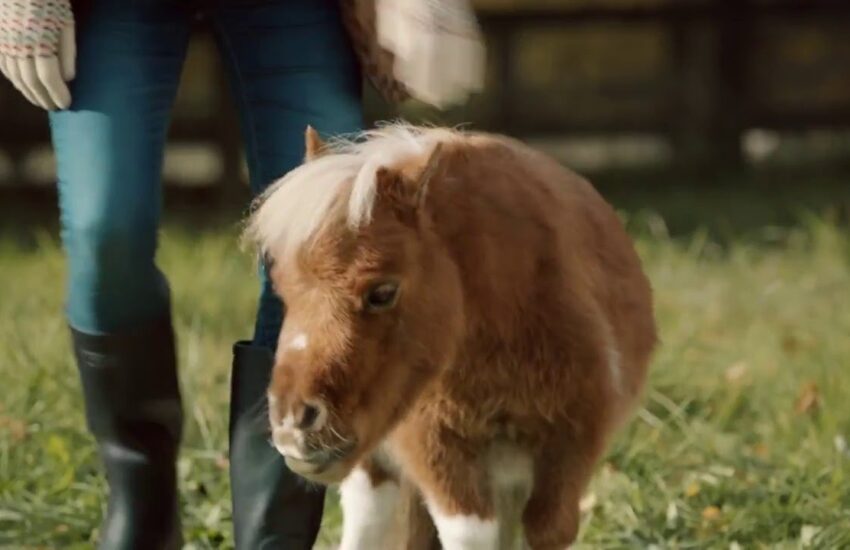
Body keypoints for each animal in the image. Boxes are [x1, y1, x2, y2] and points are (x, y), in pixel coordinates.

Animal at [244, 124, 657, 549]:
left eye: (382, 292)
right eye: (281, 290)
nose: (292, 422)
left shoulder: (569, 451)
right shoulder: (438, 449)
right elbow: (468, 534)